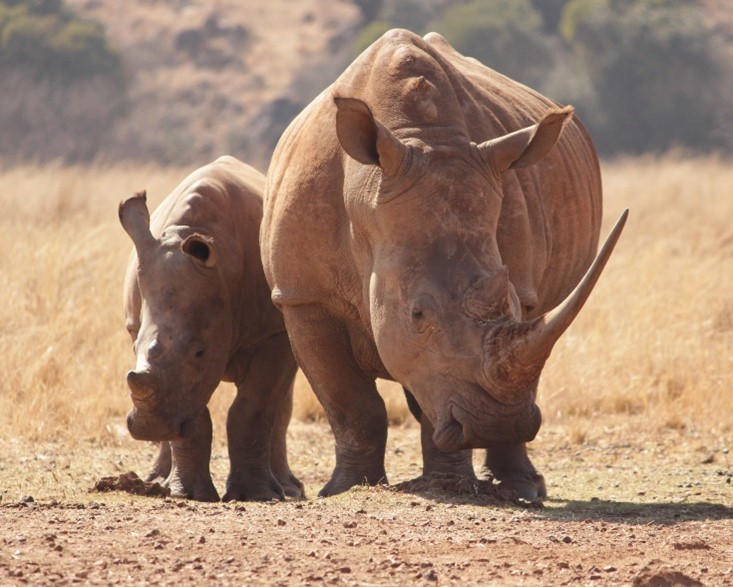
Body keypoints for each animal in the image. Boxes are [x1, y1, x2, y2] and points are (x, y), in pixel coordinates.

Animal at [119, 155, 302, 502]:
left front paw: (257, 495)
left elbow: (253, 407)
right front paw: (188, 494)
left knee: (280, 402)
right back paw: (158, 481)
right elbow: (193, 409)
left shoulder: (273, 333)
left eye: (200, 352)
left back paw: (288, 489)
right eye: (133, 346)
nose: (150, 428)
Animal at [261, 29, 627, 500]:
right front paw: (345, 489)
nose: (496, 424)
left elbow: (436, 386)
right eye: (418, 313)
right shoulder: (302, 297)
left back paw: (523, 488)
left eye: (512, 303)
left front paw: (449, 484)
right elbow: (350, 403)